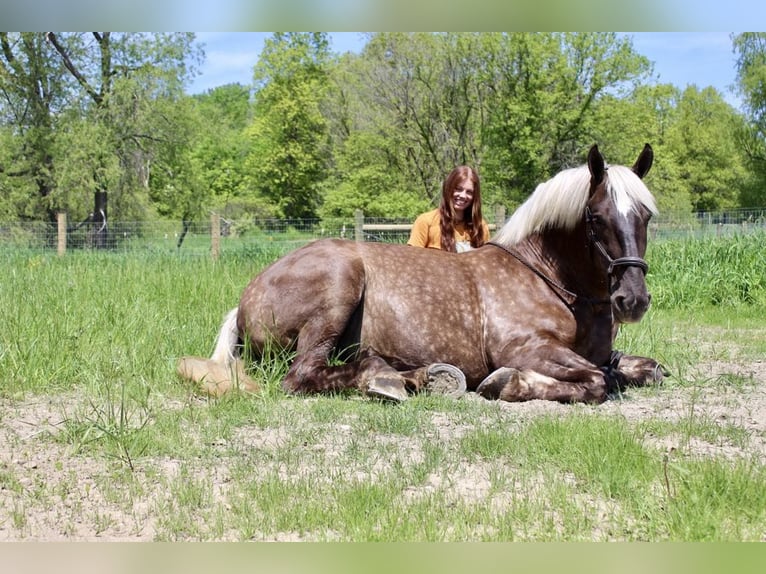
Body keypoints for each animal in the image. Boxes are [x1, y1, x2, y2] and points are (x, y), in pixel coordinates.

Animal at [177, 144, 667, 404]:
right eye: (595, 218)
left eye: (645, 215)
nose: (632, 300)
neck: (549, 280)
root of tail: (245, 300)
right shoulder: (528, 349)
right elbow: (595, 381)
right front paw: (506, 383)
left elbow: (643, 369)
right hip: (338, 285)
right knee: (302, 376)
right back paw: (393, 380)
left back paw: (415, 376)